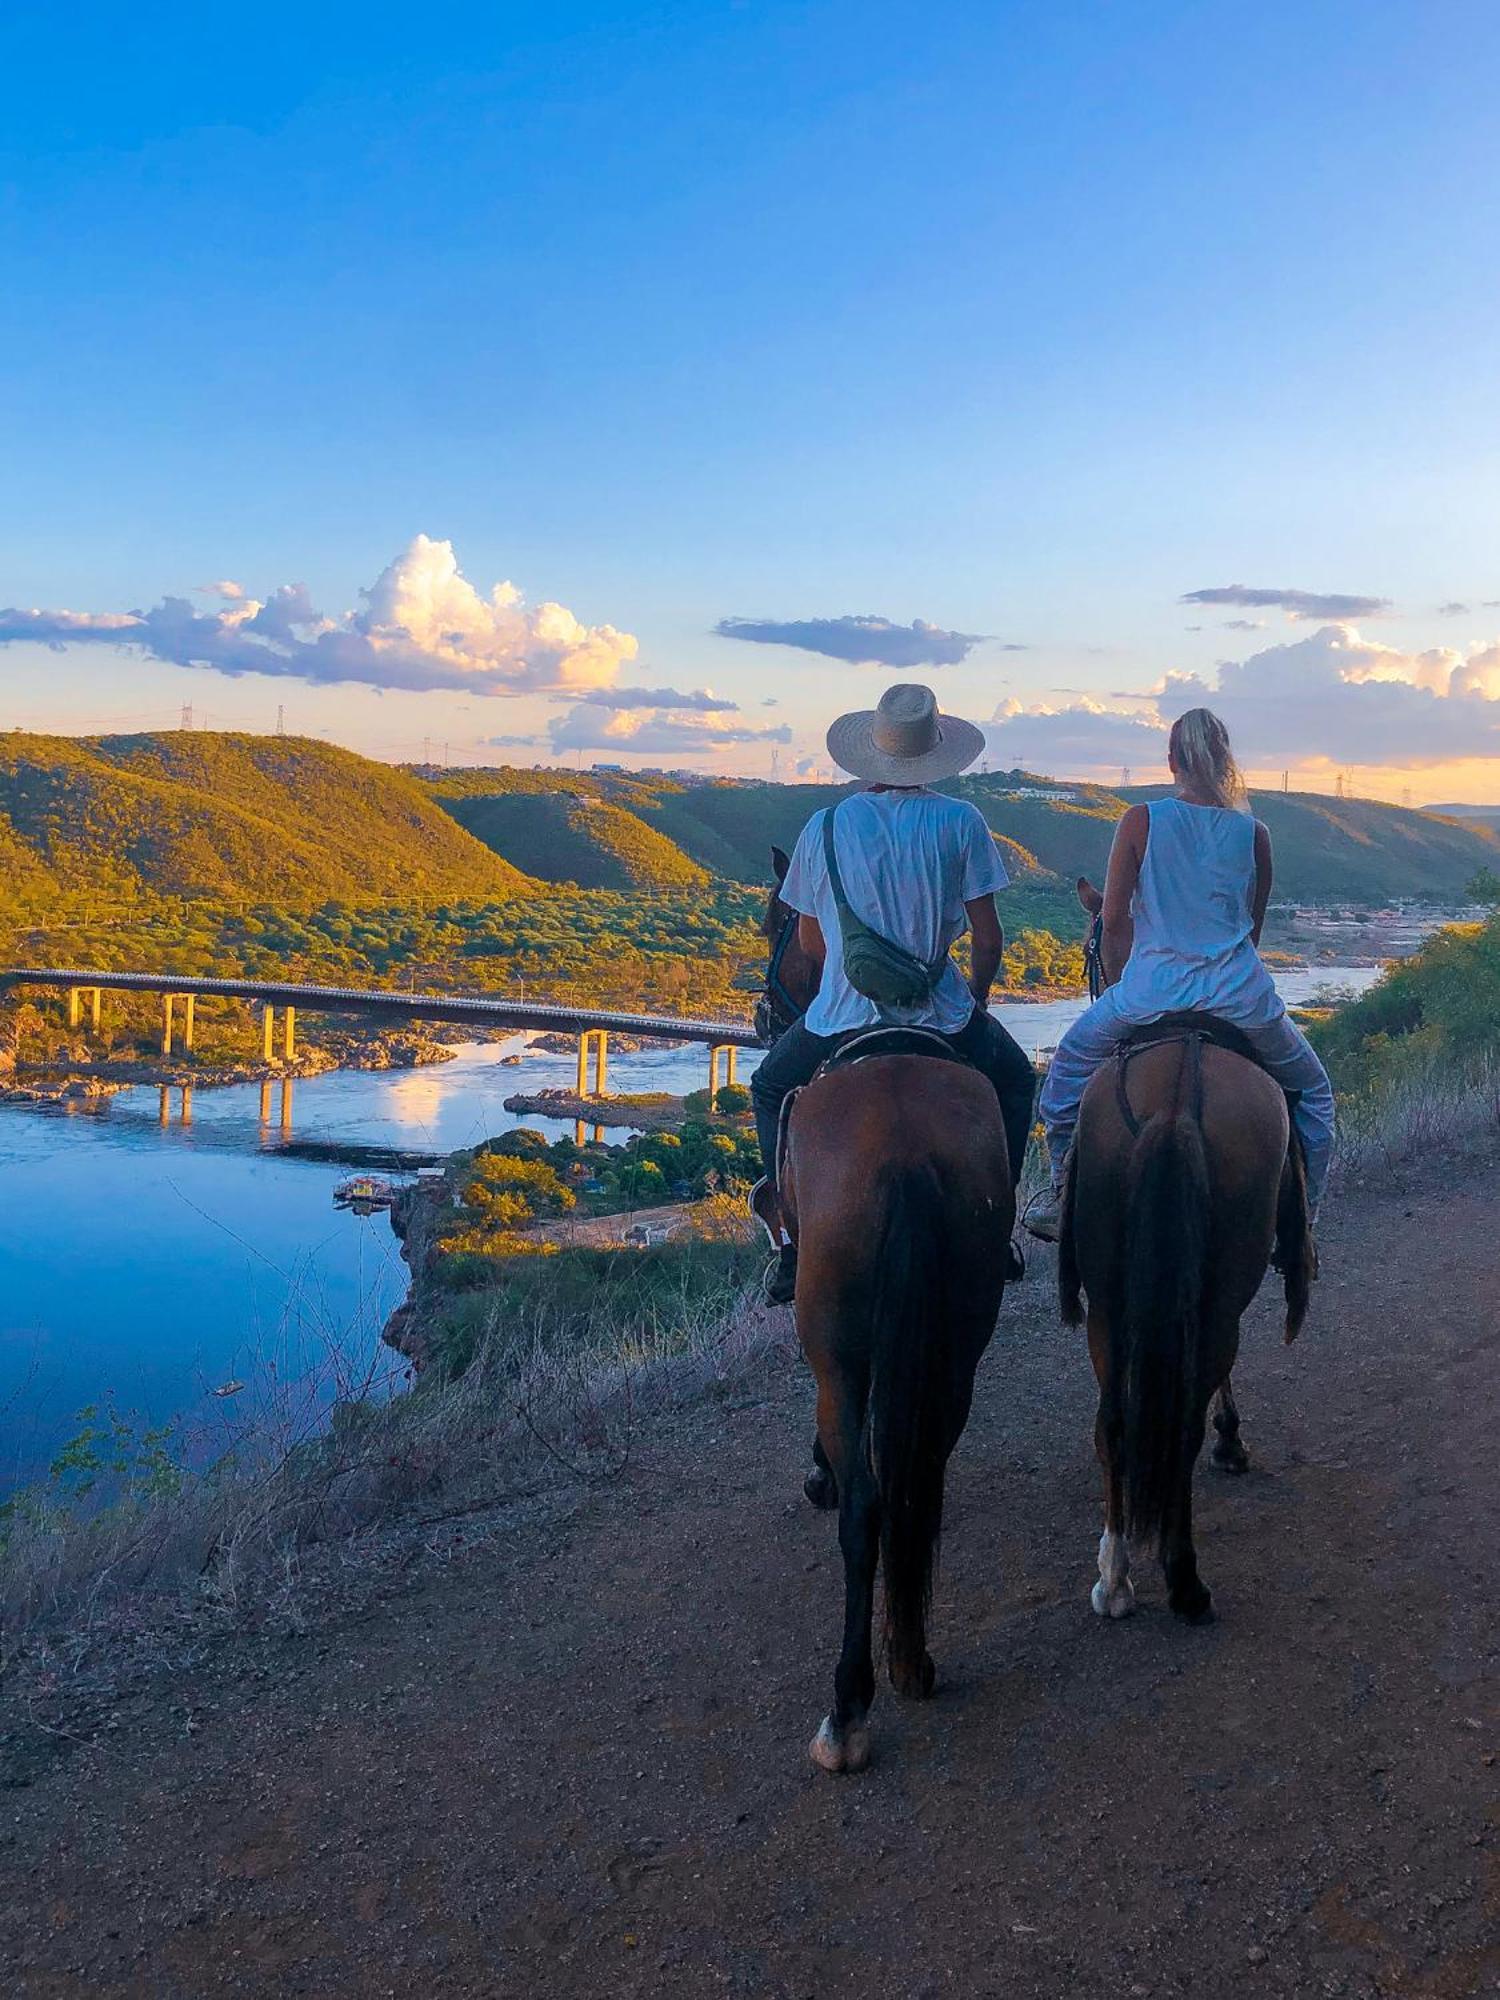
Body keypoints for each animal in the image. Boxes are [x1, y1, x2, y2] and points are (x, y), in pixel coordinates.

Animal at [756, 844, 1016, 1768]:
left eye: (775, 921)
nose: (764, 1012)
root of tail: (903, 1149)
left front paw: (816, 1473)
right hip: (960, 1333)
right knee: (922, 1470)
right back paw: (912, 1658)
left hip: (838, 1342)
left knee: (871, 1504)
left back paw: (849, 1705)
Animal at [1072, 876, 1312, 1624]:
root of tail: (1178, 1097)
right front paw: (1231, 1440)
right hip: (1219, 1283)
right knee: (1182, 1405)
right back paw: (1184, 1577)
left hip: (1108, 1298)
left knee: (1117, 1419)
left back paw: (1116, 1576)